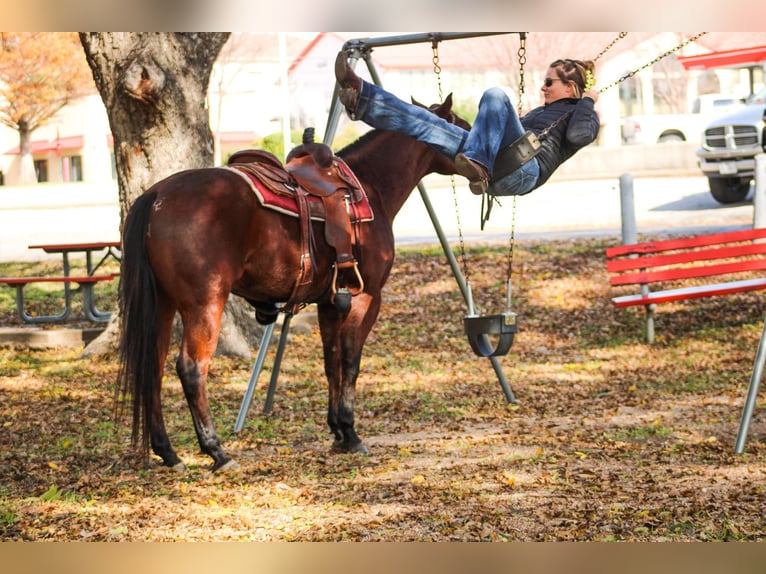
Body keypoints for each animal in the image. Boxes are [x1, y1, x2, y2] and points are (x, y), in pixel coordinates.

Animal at [118, 95, 468, 472]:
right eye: (464, 128)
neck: (371, 187)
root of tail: (156, 195)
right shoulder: (366, 298)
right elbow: (350, 361)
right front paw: (350, 432)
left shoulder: (330, 302)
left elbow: (331, 362)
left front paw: (337, 431)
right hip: (205, 304)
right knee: (192, 368)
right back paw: (217, 451)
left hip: (163, 305)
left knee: (152, 366)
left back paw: (167, 451)